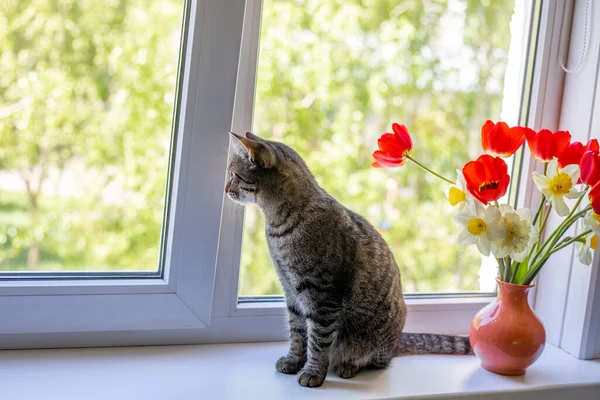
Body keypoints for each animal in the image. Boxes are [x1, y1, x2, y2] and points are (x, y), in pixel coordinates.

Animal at [225, 131, 474, 388]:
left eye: (233, 175)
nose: (225, 189)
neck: (279, 225)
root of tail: (397, 342)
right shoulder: (291, 292)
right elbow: (297, 333)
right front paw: (294, 361)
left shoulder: (322, 296)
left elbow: (318, 340)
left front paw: (313, 372)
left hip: (371, 339)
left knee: (375, 361)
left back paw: (348, 365)